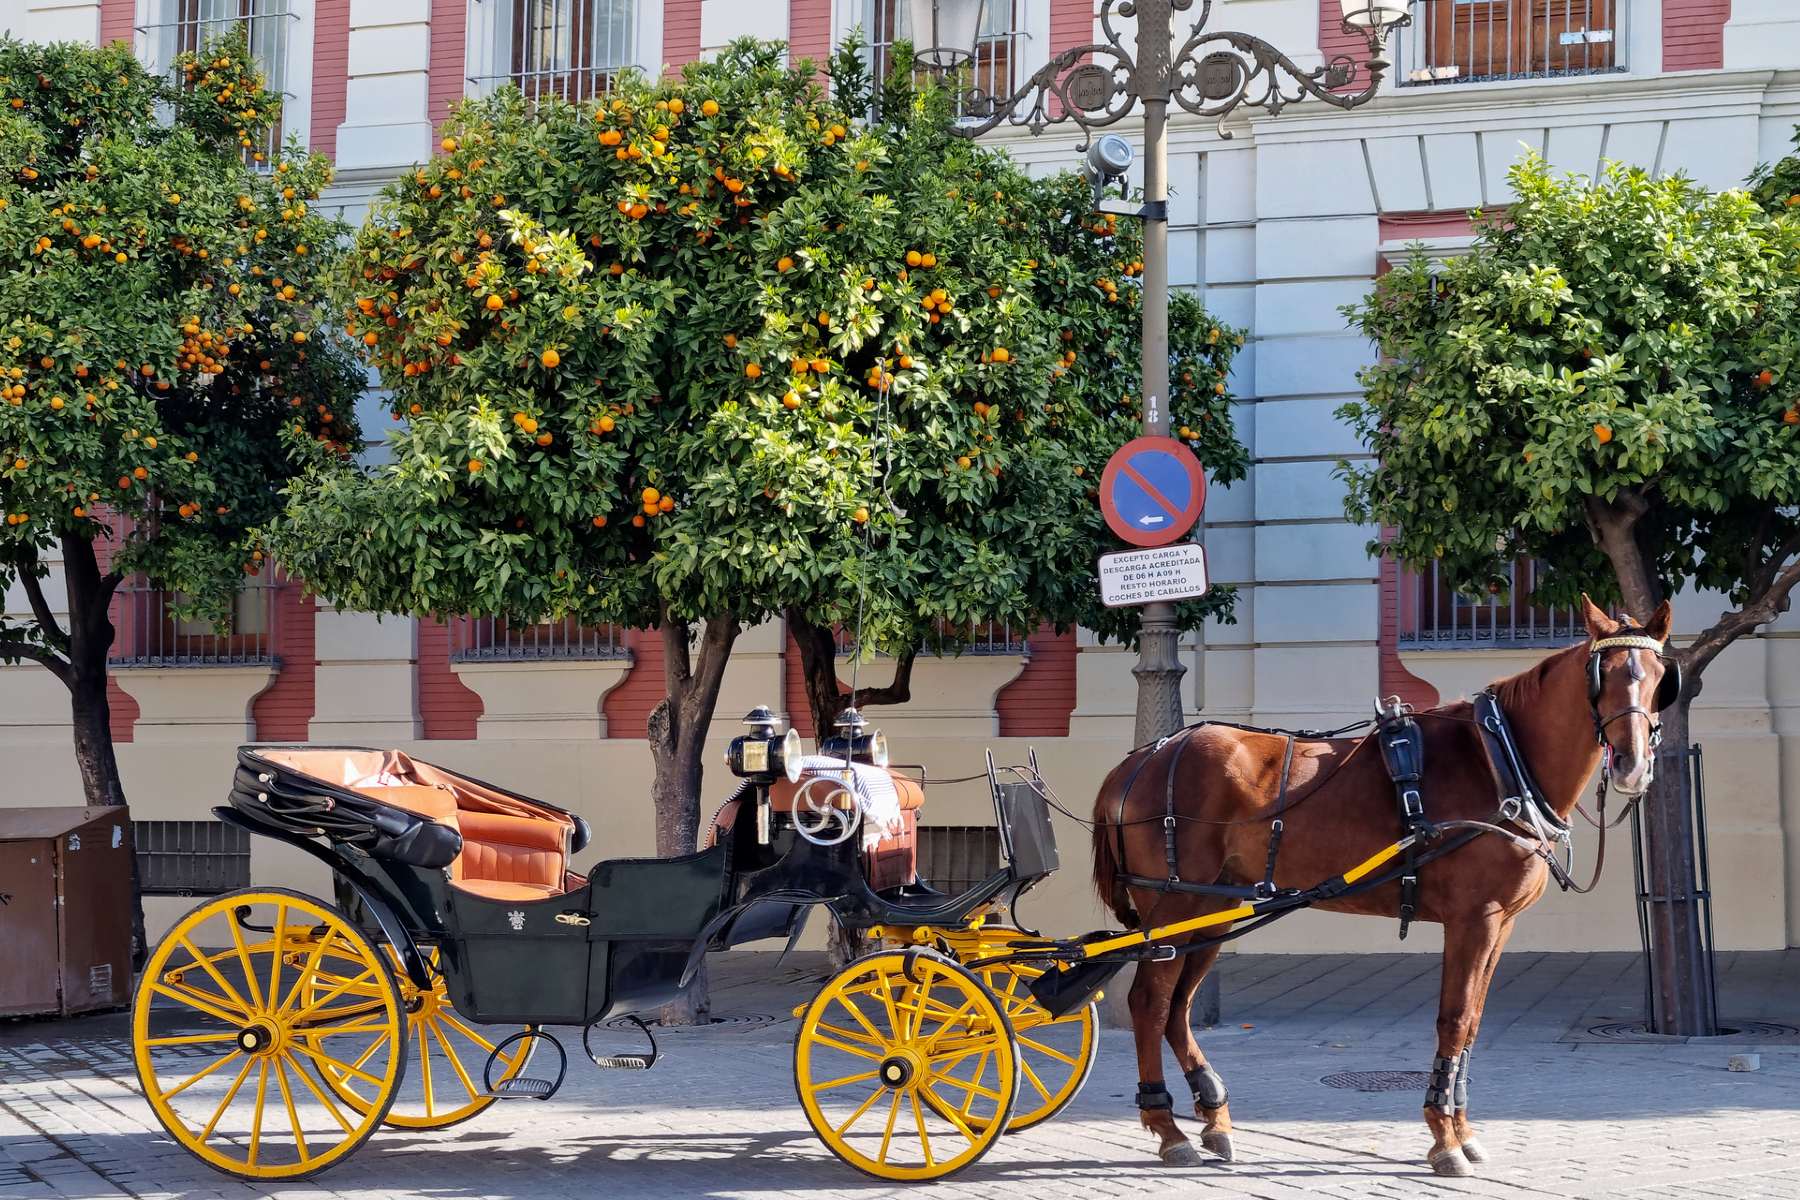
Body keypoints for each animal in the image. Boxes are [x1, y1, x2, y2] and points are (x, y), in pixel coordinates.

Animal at [1087, 597, 1677, 1180]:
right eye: (1604, 675)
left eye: (1657, 678)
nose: (1632, 765)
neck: (1498, 760)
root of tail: (1138, 760)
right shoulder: (1475, 919)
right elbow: (1455, 1019)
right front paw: (1445, 1137)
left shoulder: (1501, 924)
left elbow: (1473, 1023)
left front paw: (1462, 1129)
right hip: (1174, 908)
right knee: (1150, 1003)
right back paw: (1169, 1129)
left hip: (1213, 909)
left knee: (1178, 1008)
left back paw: (1213, 1116)